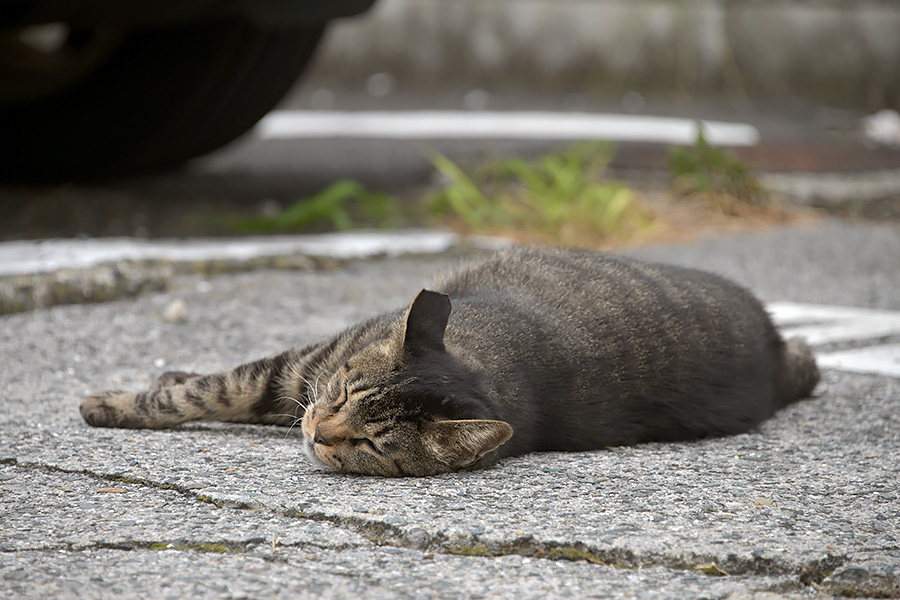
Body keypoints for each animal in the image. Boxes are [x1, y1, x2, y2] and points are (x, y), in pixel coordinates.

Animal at [81, 246, 820, 476]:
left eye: (370, 444)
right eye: (343, 394)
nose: (318, 431)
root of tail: (768, 345)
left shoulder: (297, 378)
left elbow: (204, 393)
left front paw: (109, 404)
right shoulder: (307, 370)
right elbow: (212, 391)